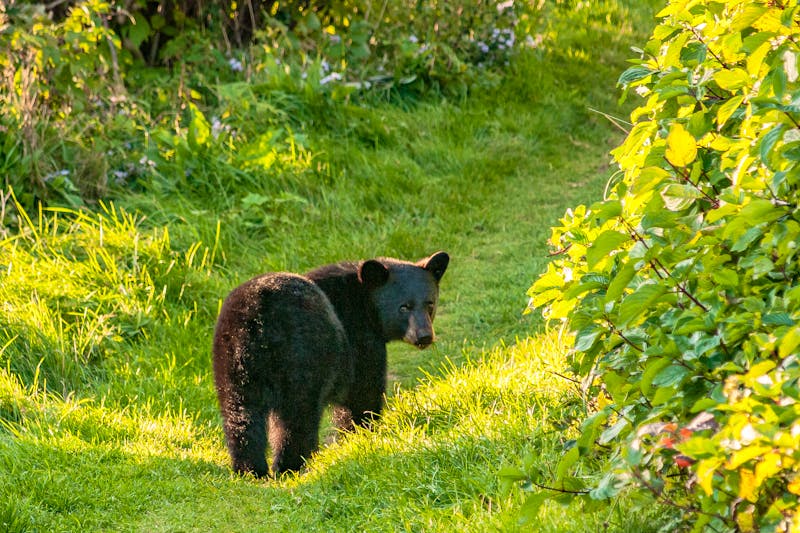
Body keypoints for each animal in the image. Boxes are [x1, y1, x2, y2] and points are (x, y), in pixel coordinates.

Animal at [212, 251, 449, 477]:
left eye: (429, 303)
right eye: (404, 307)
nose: (424, 336)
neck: (362, 301)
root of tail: (258, 315)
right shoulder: (359, 339)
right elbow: (363, 390)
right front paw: (361, 434)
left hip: (233, 362)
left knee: (240, 414)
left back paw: (250, 469)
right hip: (303, 354)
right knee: (297, 414)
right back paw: (291, 465)